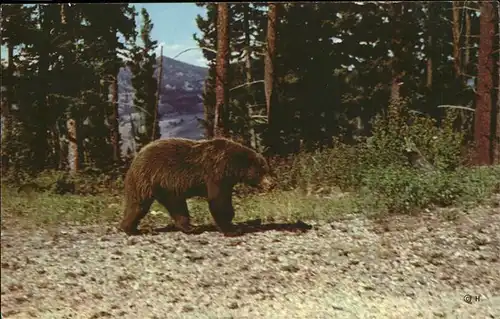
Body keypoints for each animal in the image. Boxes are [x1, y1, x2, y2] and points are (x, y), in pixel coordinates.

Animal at [119, 136, 274, 236]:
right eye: (262, 172)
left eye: (266, 170)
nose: (271, 184)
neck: (233, 166)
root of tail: (136, 157)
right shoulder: (216, 174)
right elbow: (218, 200)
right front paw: (232, 229)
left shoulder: (227, 181)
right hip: (147, 178)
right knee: (138, 205)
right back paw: (133, 229)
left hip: (167, 188)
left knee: (177, 207)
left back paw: (191, 227)